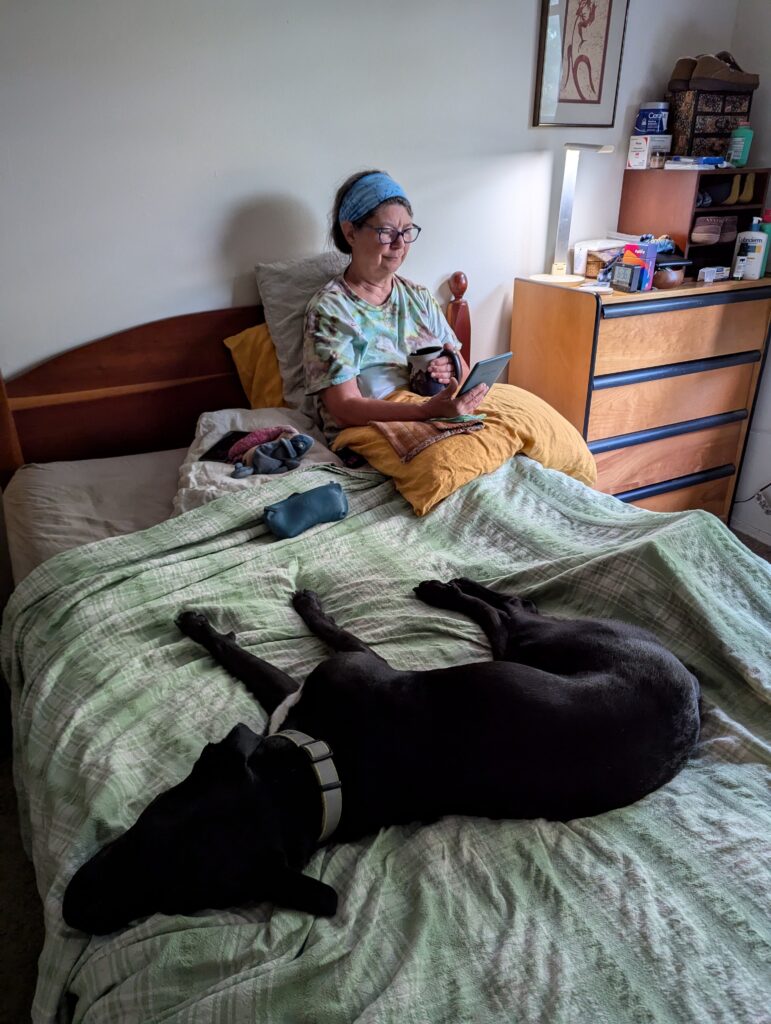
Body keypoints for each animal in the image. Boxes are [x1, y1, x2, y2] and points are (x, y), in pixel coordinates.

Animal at [61, 577, 696, 937]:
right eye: (145, 828)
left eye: (179, 901)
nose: (70, 912)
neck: (316, 774)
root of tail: (694, 702)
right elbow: (248, 662)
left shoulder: (343, 668)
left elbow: (283, 642)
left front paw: (219, 621)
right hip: (527, 650)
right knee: (514, 607)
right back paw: (452, 585)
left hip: (542, 644)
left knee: (513, 611)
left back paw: (448, 589)